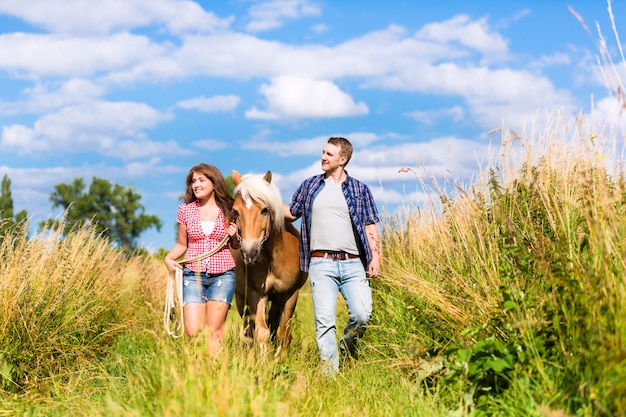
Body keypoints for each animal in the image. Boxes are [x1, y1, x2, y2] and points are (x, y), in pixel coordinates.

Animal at [229, 169, 308, 352]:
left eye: (264, 210)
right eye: (236, 211)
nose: (249, 252)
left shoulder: (290, 295)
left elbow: (284, 333)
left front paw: (280, 356)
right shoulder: (256, 294)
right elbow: (261, 332)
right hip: (241, 298)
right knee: (249, 327)